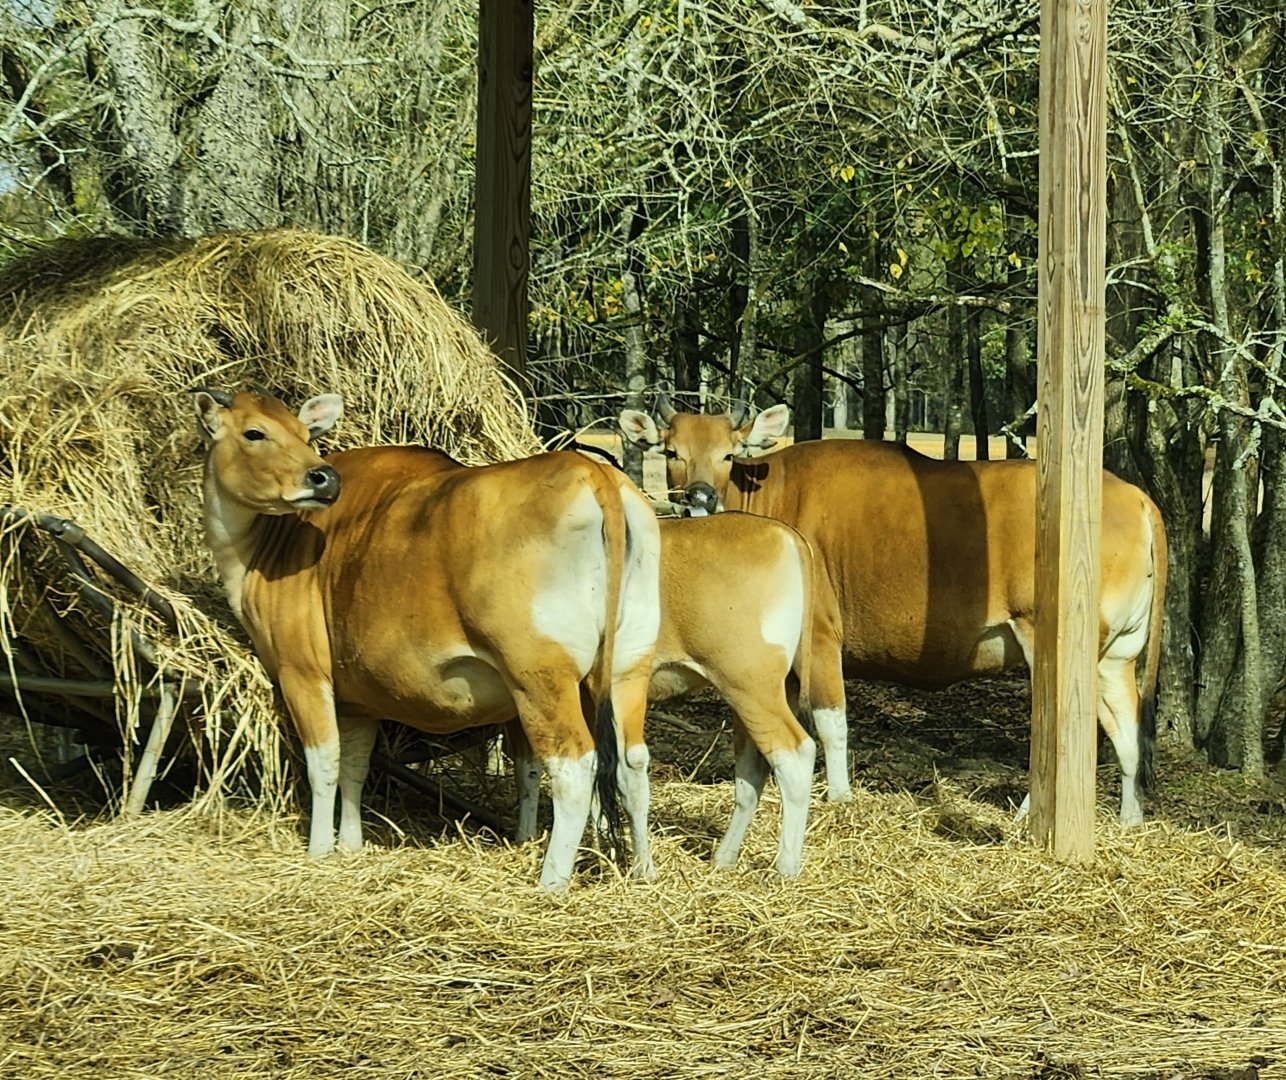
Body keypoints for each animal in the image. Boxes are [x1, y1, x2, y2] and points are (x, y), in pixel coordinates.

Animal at [194, 388, 661, 891]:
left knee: (575, 766)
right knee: (632, 761)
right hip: (627, 669)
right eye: (255, 432)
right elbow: (355, 765)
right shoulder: (358, 697)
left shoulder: (302, 672)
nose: (321, 479)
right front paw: (351, 843)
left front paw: (320, 850)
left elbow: (325, 762)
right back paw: (644, 871)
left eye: (304, 435)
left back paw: (550, 882)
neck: (270, 545)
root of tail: (596, 474)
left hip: (539, 676)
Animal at [618, 396, 1168, 826]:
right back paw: (1129, 817)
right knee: (1126, 729)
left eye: (729, 453)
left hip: (1051, 640)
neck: (773, 496)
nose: (699, 499)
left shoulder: (822, 637)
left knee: (1075, 730)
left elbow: (830, 721)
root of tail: (1135, 497)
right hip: (1117, 655)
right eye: (672, 452)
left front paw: (840, 797)